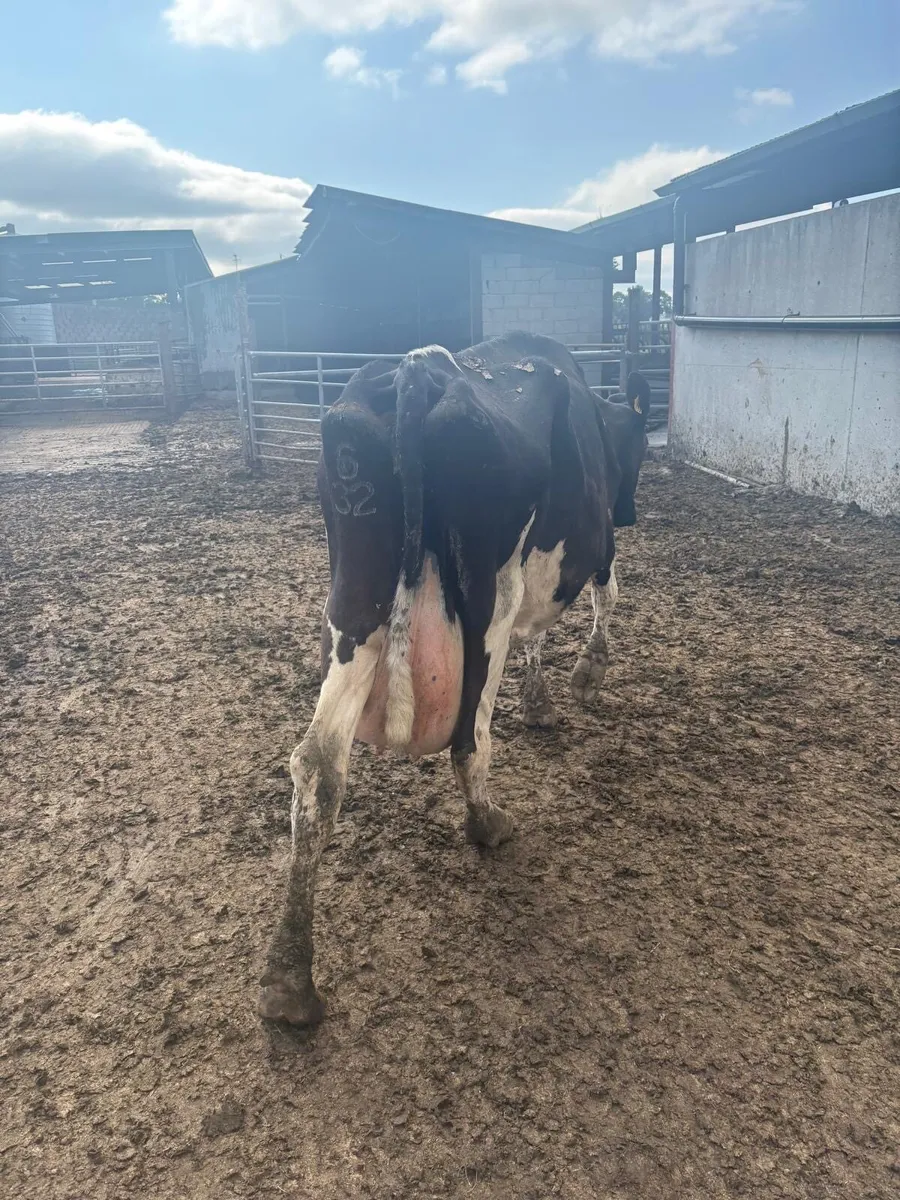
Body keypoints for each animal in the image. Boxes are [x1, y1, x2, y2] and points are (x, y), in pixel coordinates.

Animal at [258, 332, 651, 1026]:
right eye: (641, 451)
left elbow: (539, 637)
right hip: (488, 600)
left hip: (354, 607)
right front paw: (584, 677)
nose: (630, 511)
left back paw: (288, 982)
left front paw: (540, 701)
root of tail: (416, 371)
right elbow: (603, 599)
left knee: (318, 767)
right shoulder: (594, 547)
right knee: (469, 739)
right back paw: (488, 823)